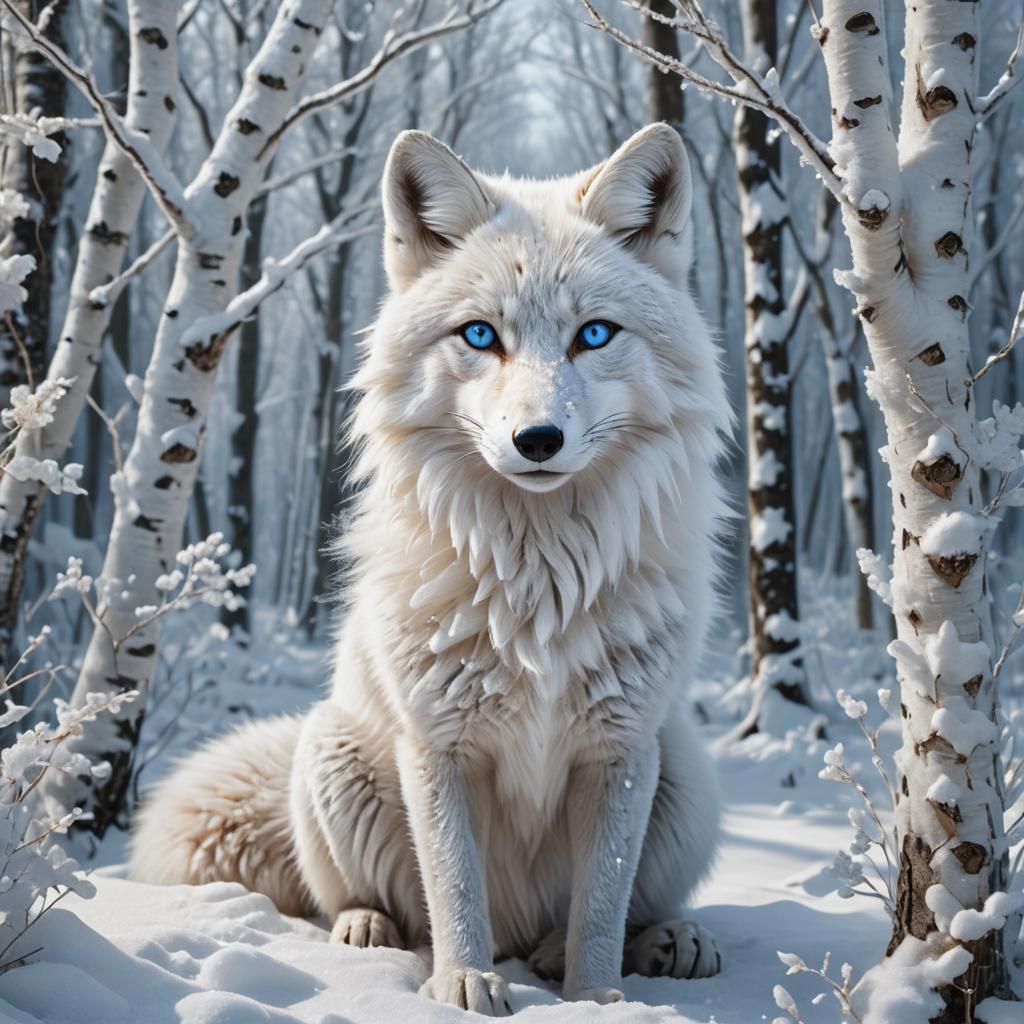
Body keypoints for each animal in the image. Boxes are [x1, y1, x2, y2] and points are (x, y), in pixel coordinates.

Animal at [131, 123, 732, 1016]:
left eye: (593, 334)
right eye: (480, 336)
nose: (538, 440)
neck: (538, 580)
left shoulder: (620, 750)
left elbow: (600, 906)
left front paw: (596, 998)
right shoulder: (439, 747)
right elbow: (452, 887)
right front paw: (462, 986)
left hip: (682, 764)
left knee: (611, 914)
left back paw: (659, 943)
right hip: (332, 749)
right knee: (371, 902)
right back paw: (372, 931)